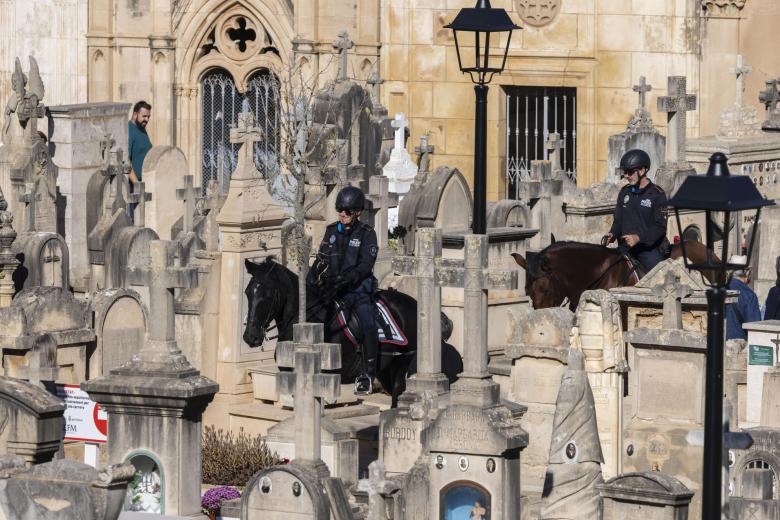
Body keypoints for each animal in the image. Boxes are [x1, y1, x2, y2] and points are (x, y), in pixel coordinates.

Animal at [244, 258, 464, 406]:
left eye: (266, 295)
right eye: (247, 292)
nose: (250, 336)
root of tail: (414, 303)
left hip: (402, 366)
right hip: (385, 371)